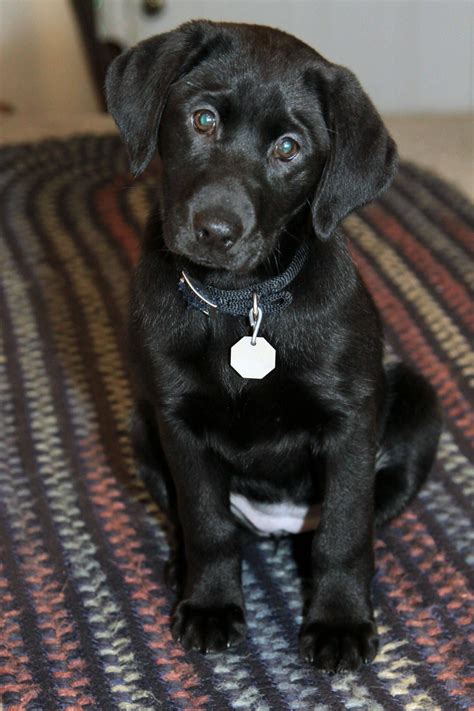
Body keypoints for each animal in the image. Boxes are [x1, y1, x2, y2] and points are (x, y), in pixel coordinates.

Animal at [105, 19, 442, 672]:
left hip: (417, 401)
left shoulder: (350, 419)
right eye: (203, 119)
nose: (215, 230)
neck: (243, 303)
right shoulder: (176, 420)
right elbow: (207, 524)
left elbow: (344, 530)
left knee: (350, 520)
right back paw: (182, 566)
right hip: (137, 423)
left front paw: (339, 620)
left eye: (289, 148)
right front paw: (211, 605)